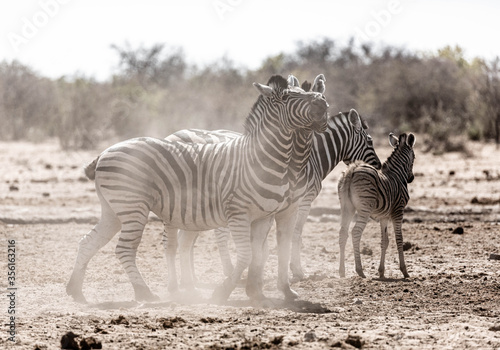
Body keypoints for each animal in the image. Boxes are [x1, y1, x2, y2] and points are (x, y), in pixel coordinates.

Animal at [166, 108, 380, 288]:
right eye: (370, 140)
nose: (378, 166)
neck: (312, 157)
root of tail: (171, 135)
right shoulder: (302, 201)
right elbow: (295, 235)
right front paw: (296, 270)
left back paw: (192, 279)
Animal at [338, 133, 416, 280]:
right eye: (414, 158)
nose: (411, 178)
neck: (397, 174)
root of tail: (353, 168)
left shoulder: (383, 216)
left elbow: (384, 241)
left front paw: (381, 271)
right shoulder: (398, 211)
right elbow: (399, 239)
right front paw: (404, 270)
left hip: (346, 207)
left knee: (343, 233)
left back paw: (341, 271)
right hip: (364, 208)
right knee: (356, 232)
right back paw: (360, 270)